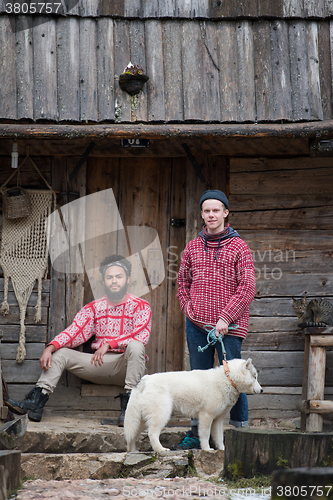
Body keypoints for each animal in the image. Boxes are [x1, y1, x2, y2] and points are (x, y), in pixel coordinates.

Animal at [124, 356, 262, 454]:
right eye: (255, 377)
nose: (261, 390)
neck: (228, 378)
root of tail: (144, 380)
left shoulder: (217, 420)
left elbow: (219, 437)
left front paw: (222, 449)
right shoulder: (206, 416)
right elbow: (205, 435)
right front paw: (207, 449)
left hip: (141, 420)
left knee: (132, 435)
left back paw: (132, 451)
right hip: (161, 415)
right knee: (152, 434)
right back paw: (160, 449)